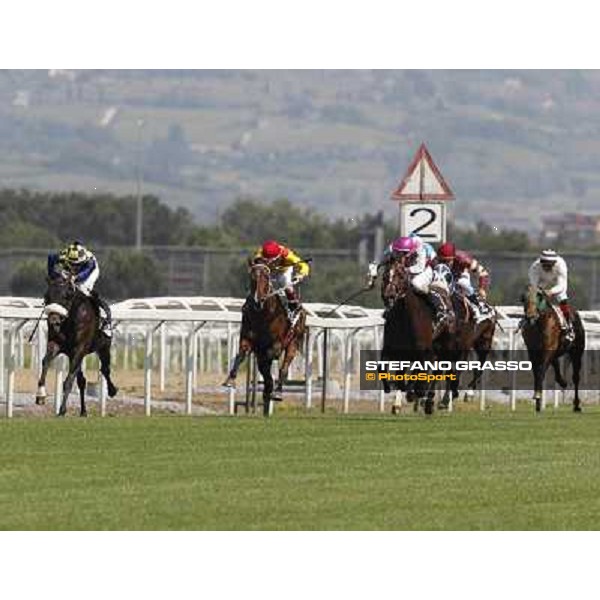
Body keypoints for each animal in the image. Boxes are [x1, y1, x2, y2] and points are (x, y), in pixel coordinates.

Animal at [35, 272, 118, 418]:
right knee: (82, 381)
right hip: (75, 354)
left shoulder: (79, 348)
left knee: (105, 369)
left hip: (103, 347)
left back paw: (112, 390)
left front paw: (62, 410)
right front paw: (41, 395)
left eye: (66, 296)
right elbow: (45, 362)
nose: (54, 321)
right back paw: (83, 411)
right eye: (47, 296)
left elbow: (68, 380)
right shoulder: (57, 344)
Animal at [223, 258, 308, 418]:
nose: (258, 300)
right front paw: (230, 379)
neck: (262, 314)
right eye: (252, 276)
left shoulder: (276, 345)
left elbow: (271, 360)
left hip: (294, 342)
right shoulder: (247, 339)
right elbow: (241, 355)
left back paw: (277, 392)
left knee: (283, 368)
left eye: (266, 277)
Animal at [380, 258, 454, 418]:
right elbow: (383, 368)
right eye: (385, 275)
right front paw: (391, 388)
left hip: (444, 345)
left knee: (438, 370)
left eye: (401, 275)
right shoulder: (391, 349)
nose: (389, 295)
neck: (404, 317)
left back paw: (428, 402)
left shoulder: (424, 350)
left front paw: (416, 393)